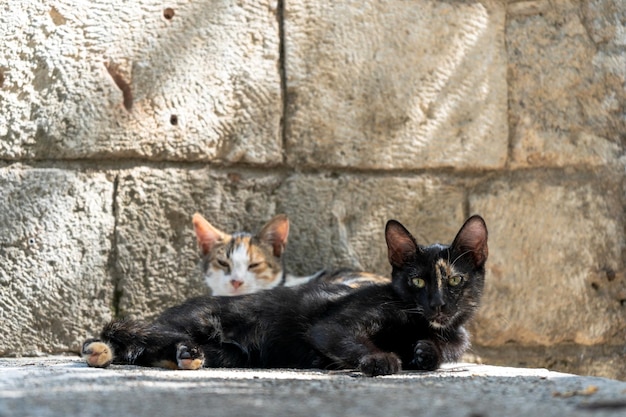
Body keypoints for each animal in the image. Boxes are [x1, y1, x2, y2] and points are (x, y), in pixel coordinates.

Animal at [80, 214, 486, 374]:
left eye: (454, 281)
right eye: (417, 282)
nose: (438, 304)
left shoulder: (451, 339)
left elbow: (436, 354)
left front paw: (423, 351)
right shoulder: (333, 326)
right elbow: (351, 340)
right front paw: (381, 359)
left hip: (228, 355)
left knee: (151, 349)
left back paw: (182, 356)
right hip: (194, 322)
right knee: (128, 332)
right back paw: (99, 349)